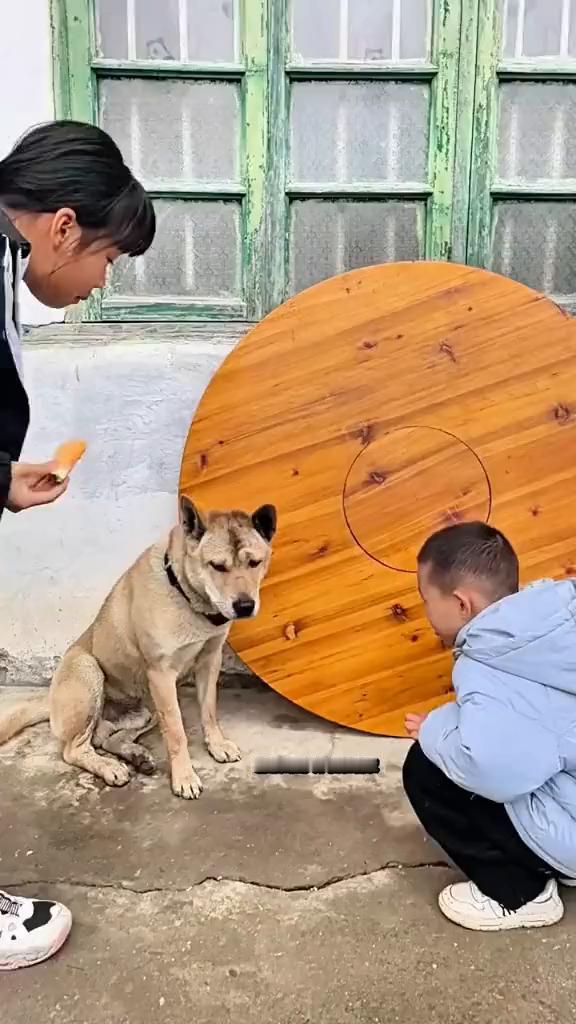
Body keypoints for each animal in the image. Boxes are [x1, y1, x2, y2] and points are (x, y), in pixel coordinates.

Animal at [0, 495, 276, 798]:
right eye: (217, 566)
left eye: (255, 563)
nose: (245, 605)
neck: (185, 594)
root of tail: (50, 700)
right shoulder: (162, 675)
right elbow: (177, 733)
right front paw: (184, 776)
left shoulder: (209, 661)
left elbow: (209, 711)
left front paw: (216, 744)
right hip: (89, 671)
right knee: (75, 749)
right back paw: (109, 766)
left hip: (147, 709)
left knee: (106, 738)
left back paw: (135, 755)